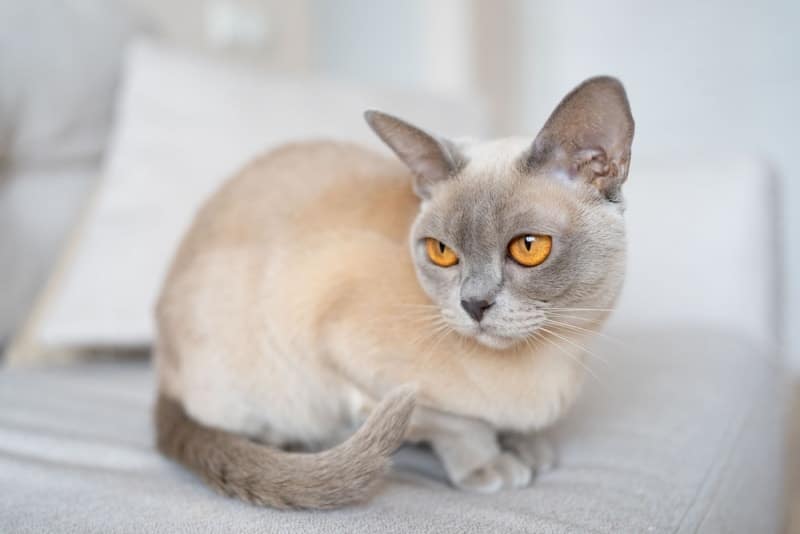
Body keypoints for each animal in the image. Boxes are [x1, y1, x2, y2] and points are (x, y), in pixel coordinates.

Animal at [153, 76, 636, 510]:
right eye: (442, 252)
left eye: (529, 247)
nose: (473, 304)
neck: (550, 359)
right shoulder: (348, 352)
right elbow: (457, 424)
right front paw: (491, 464)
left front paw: (529, 446)